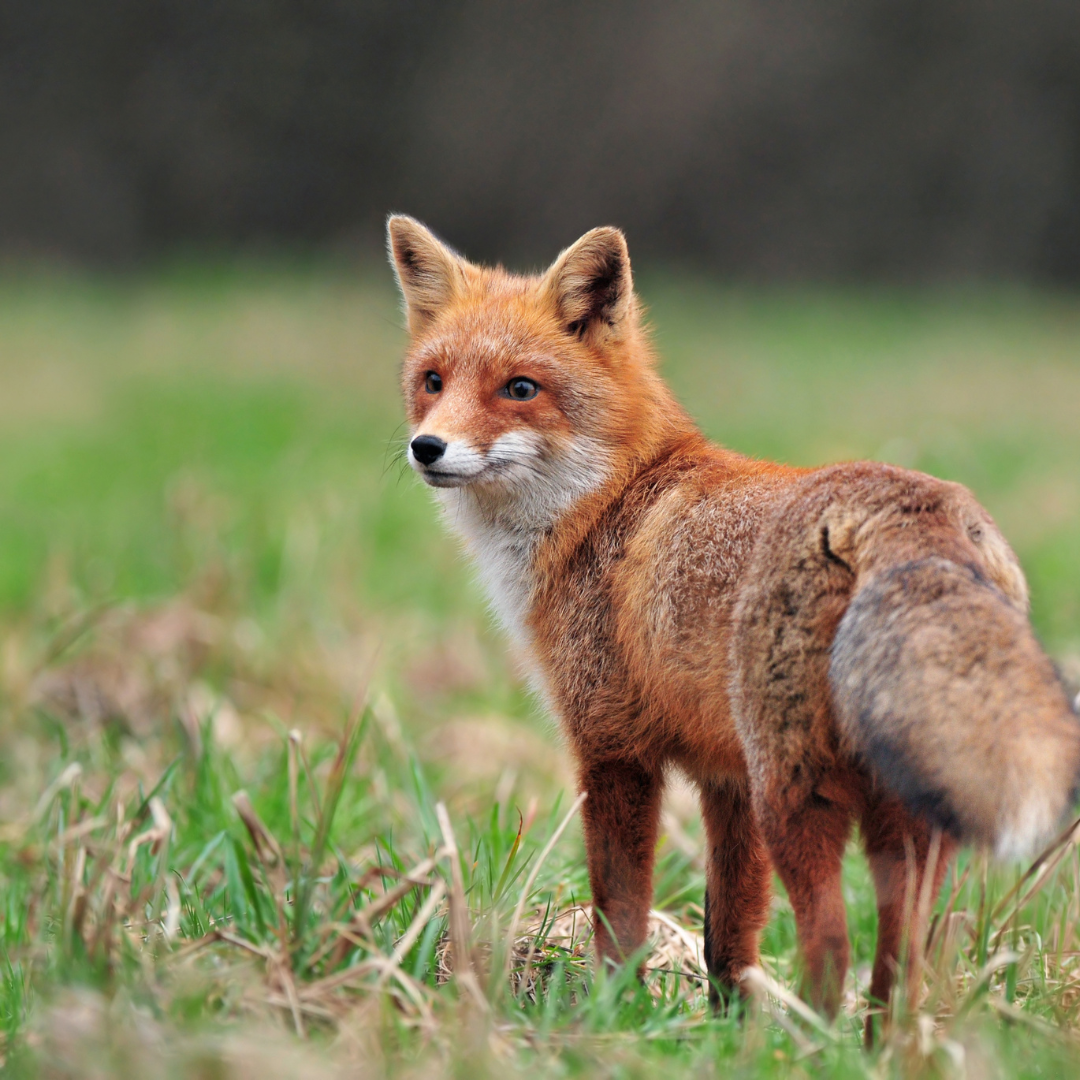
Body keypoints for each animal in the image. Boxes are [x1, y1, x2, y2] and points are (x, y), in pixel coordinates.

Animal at [388, 214, 1080, 1032]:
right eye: (433, 382)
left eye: (520, 388)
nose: (427, 447)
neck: (608, 503)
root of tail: (914, 507)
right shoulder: (728, 778)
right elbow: (730, 931)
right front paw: (721, 1025)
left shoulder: (613, 750)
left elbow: (621, 912)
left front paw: (614, 1017)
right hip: (899, 816)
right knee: (900, 962)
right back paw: (880, 1045)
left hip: (800, 798)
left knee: (831, 946)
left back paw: (813, 1046)